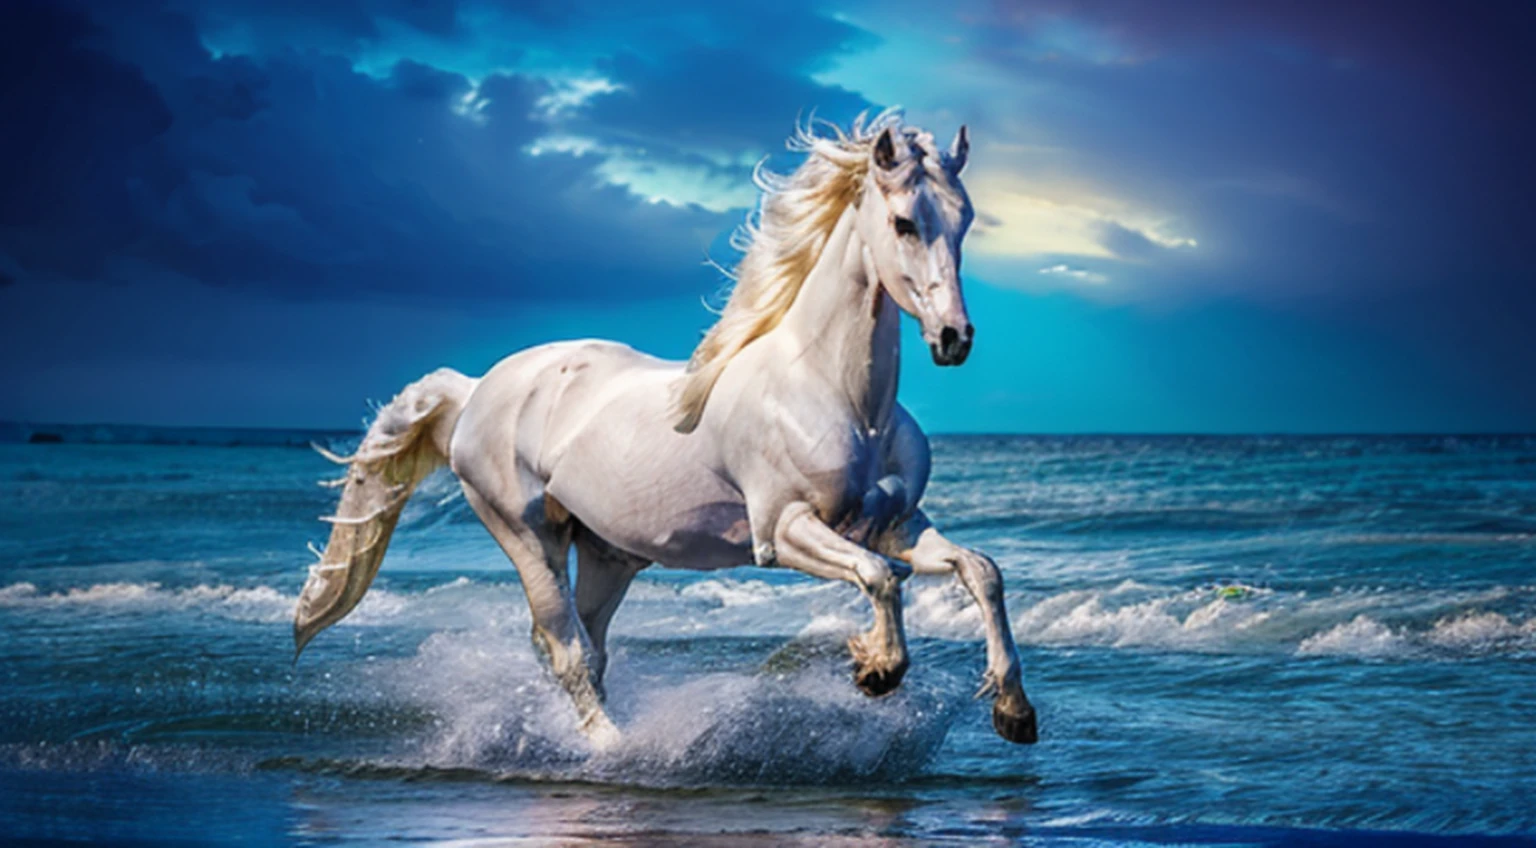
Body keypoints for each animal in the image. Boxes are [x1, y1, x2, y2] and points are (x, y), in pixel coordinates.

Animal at [293, 111, 1037, 748]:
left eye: (965, 222)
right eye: (905, 222)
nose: (954, 338)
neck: (839, 397)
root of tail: (478, 390)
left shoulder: (894, 523)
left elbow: (982, 571)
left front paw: (1014, 712)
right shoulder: (785, 531)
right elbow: (882, 579)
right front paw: (877, 670)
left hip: (607, 553)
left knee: (589, 648)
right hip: (526, 534)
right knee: (565, 648)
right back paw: (614, 752)